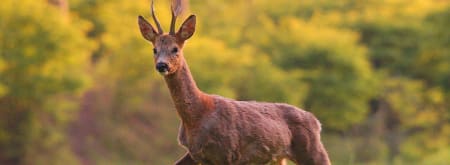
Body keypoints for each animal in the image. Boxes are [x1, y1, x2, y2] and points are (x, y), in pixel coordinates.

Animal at [137, 0, 330, 164]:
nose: (162, 65)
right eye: (155, 49)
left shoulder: (228, 151)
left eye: (175, 49)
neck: (197, 116)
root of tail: (317, 122)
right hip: (278, 158)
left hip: (312, 150)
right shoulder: (196, 154)